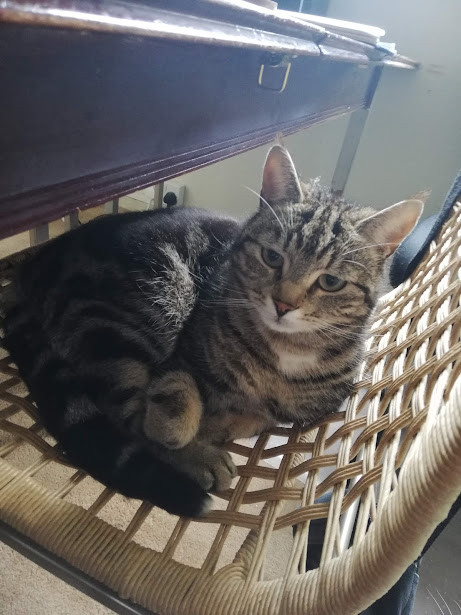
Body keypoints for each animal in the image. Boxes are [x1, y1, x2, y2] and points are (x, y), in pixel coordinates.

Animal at [0, 147, 422, 516]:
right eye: (272, 257)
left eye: (330, 282)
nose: (283, 304)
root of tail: (31, 266)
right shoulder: (182, 353)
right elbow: (177, 400)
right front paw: (186, 428)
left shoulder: (304, 410)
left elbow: (260, 414)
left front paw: (225, 420)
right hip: (129, 314)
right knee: (125, 415)